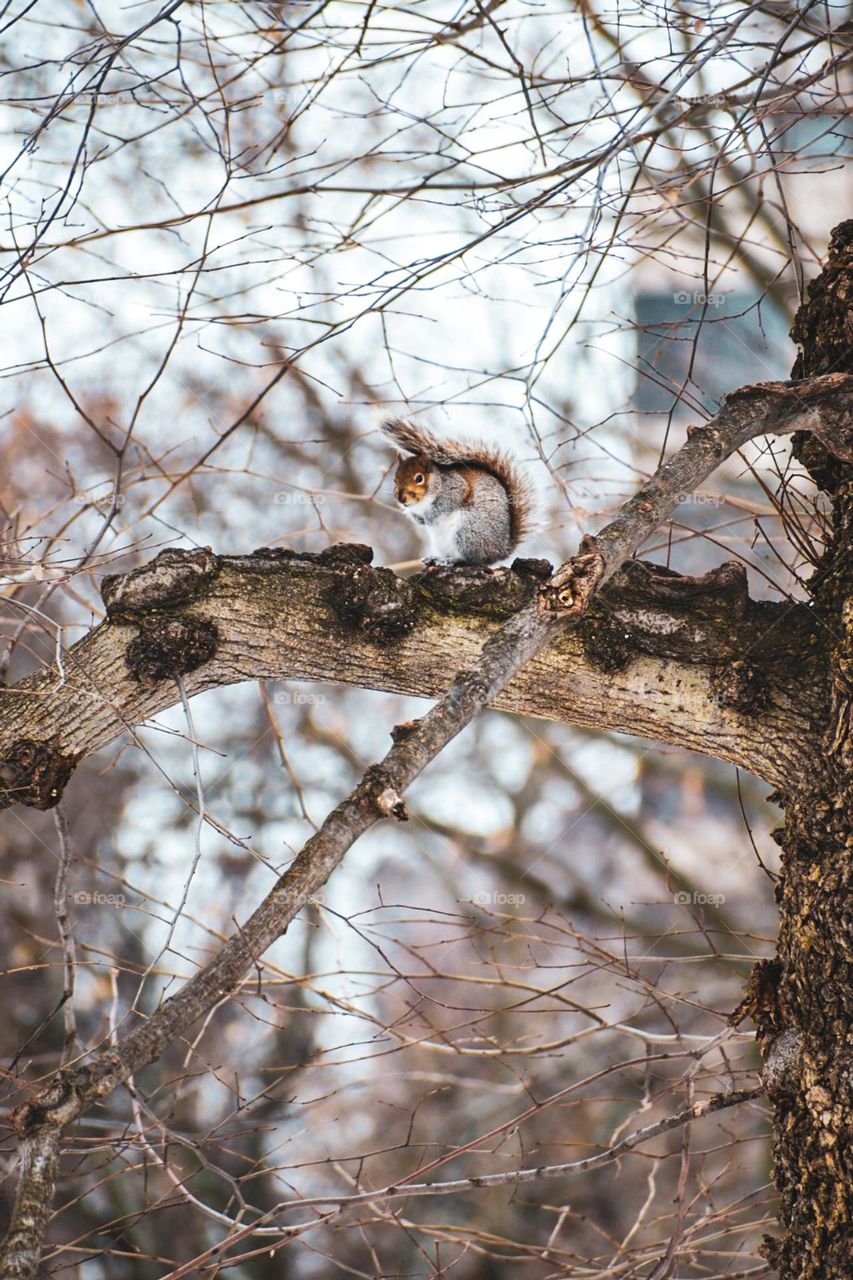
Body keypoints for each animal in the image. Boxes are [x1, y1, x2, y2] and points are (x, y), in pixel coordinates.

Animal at [379, 419, 532, 565]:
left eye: (419, 478)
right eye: (395, 479)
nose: (402, 499)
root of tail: (500, 551)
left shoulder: (454, 488)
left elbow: (444, 505)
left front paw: (429, 517)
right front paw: (418, 520)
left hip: (468, 531)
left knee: (472, 560)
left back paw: (451, 560)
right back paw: (436, 557)